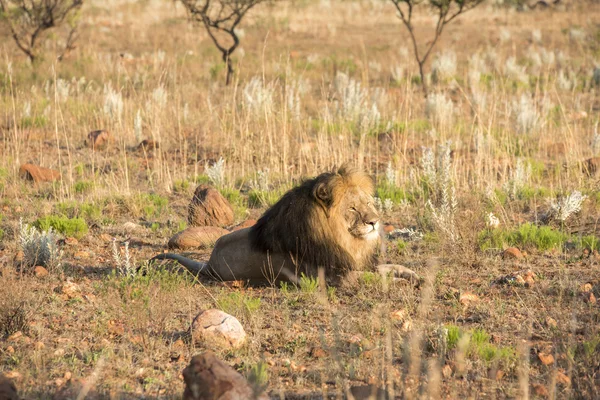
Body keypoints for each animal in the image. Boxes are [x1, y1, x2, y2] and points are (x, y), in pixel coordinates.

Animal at [152, 164, 420, 286]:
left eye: (368, 203)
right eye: (353, 208)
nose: (374, 222)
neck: (343, 239)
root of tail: (208, 263)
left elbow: (387, 267)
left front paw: (412, 274)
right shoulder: (332, 276)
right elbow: (372, 278)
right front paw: (398, 282)